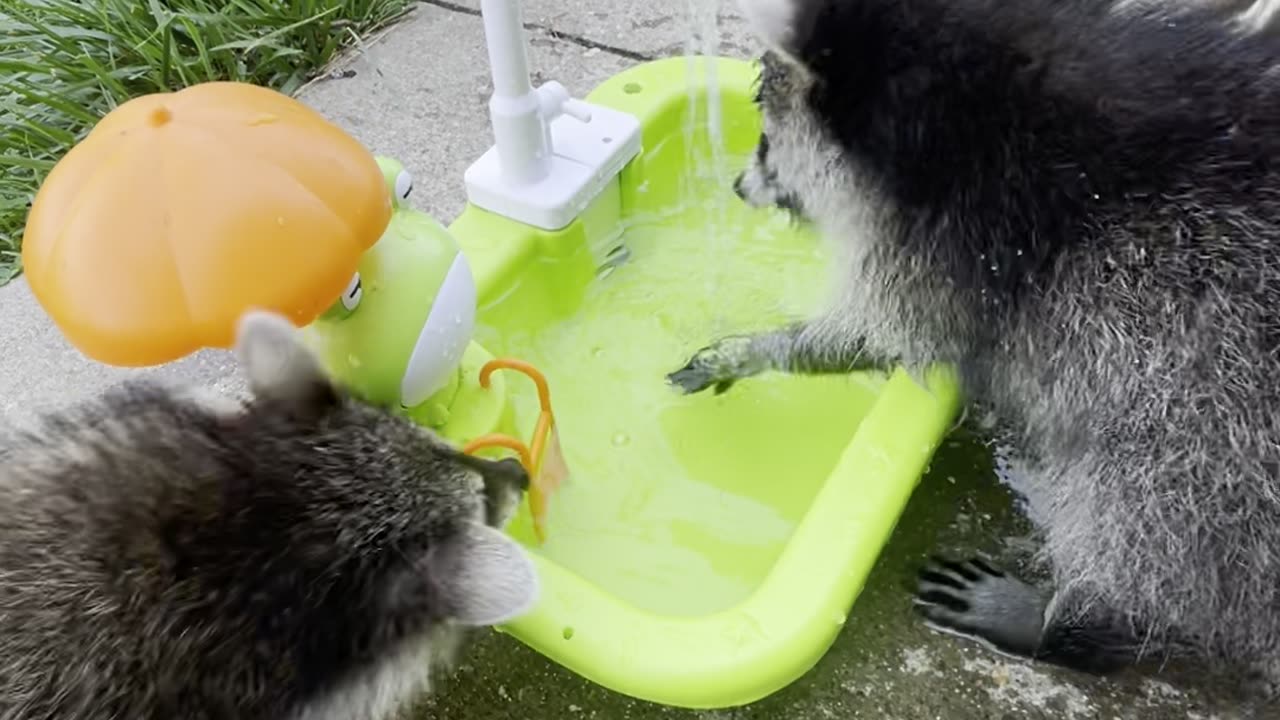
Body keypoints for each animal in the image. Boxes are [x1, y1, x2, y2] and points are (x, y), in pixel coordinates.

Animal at [665, 0, 1280, 691]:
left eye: (768, 138)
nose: (738, 185)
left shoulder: (952, 241)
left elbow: (884, 335)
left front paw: (759, 349)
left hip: (1217, 397)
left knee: (1148, 498)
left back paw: (1082, 623)